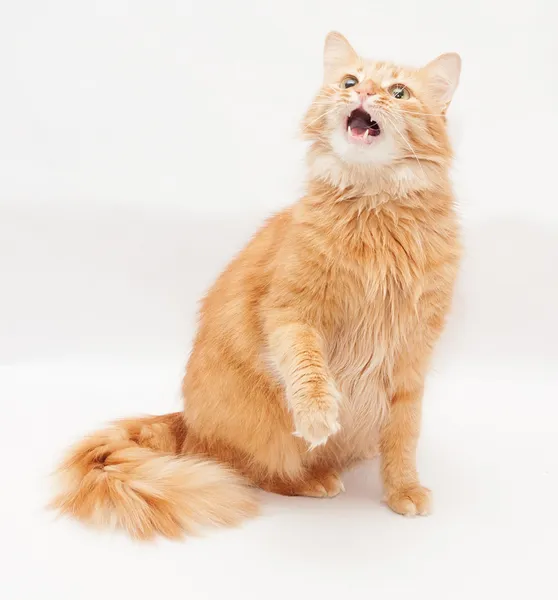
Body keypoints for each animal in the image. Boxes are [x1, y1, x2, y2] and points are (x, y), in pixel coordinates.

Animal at [52, 31, 464, 540]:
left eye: (399, 92)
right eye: (349, 81)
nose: (365, 93)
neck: (376, 211)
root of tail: (188, 422)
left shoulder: (412, 353)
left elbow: (404, 437)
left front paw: (403, 490)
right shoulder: (291, 311)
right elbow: (309, 371)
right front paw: (320, 416)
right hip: (263, 432)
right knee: (251, 469)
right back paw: (315, 478)